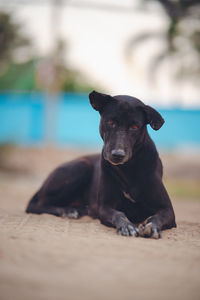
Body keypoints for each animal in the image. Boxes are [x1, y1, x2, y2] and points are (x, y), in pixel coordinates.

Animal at [25, 91, 176, 239]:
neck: (128, 168)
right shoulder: (104, 207)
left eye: (134, 127)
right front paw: (127, 226)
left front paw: (152, 227)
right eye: (110, 122)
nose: (117, 154)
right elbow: (119, 214)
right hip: (81, 167)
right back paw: (68, 211)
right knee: (37, 205)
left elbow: (157, 217)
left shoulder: (168, 210)